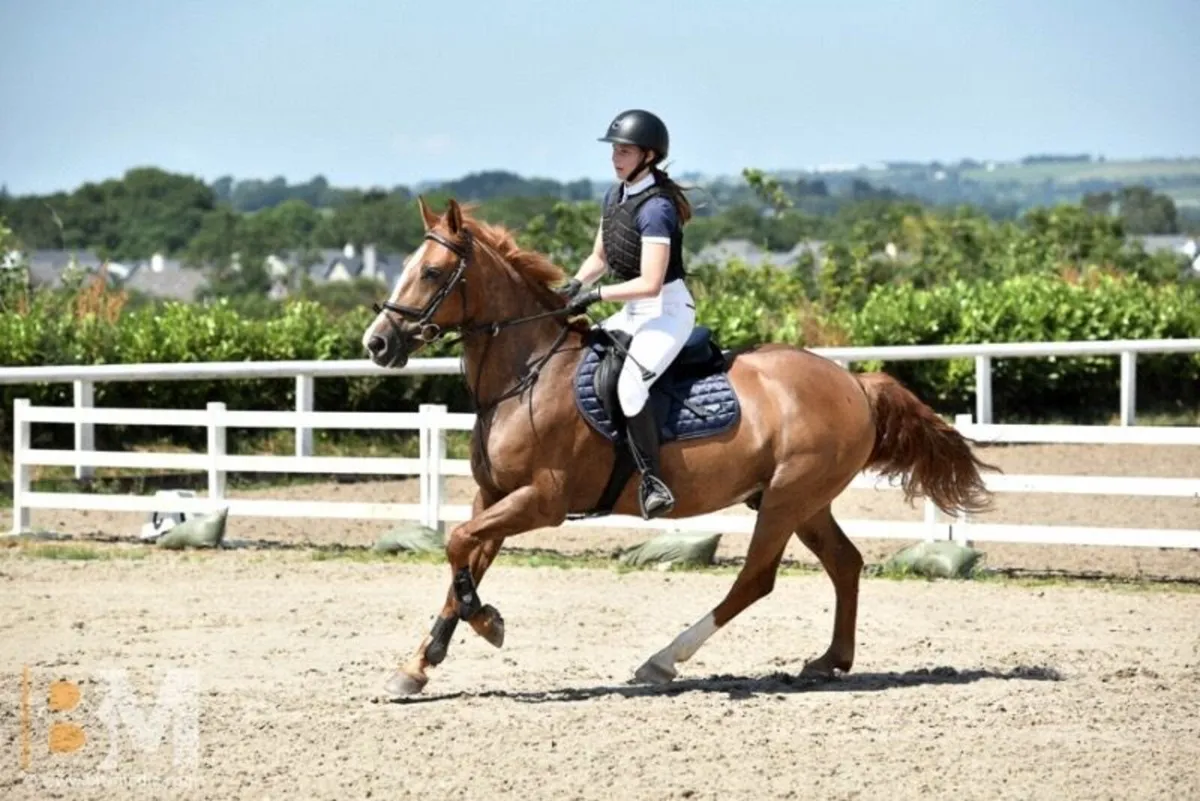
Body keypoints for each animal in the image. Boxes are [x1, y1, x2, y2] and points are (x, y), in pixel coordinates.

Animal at [362, 196, 997, 697]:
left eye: (432, 272)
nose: (378, 343)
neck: (527, 373)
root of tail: (855, 382)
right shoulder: (494, 496)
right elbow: (462, 559)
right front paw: (418, 666)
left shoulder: (542, 502)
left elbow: (459, 548)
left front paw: (487, 623)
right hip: (805, 501)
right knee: (845, 563)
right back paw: (828, 661)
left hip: (787, 499)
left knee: (755, 579)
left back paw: (662, 661)